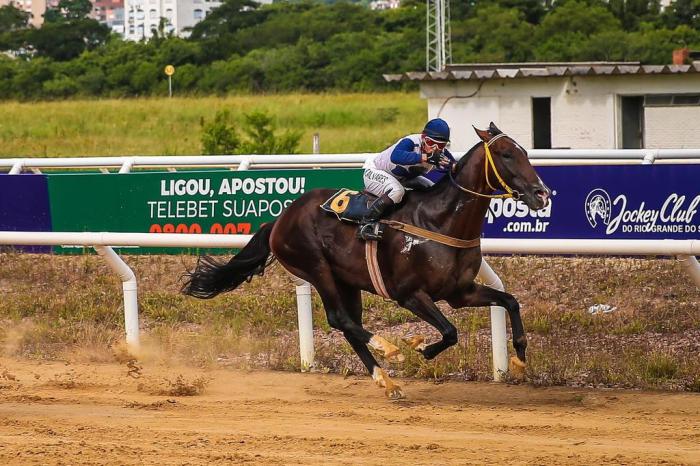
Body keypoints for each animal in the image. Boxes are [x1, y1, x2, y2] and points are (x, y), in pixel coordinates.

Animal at [182, 122, 552, 398]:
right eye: (506, 154)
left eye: (524, 152)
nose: (542, 194)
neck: (440, 220)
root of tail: (280, 219)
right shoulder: (410, 294)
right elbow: (450, 331)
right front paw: (419, 347)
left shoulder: (460, 292)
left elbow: (509, 301)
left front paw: (520, 358)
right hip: (316, 268)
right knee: (339, 319)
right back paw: (389, 350)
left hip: (347, 281)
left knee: (348, 324)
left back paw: (386, 380)